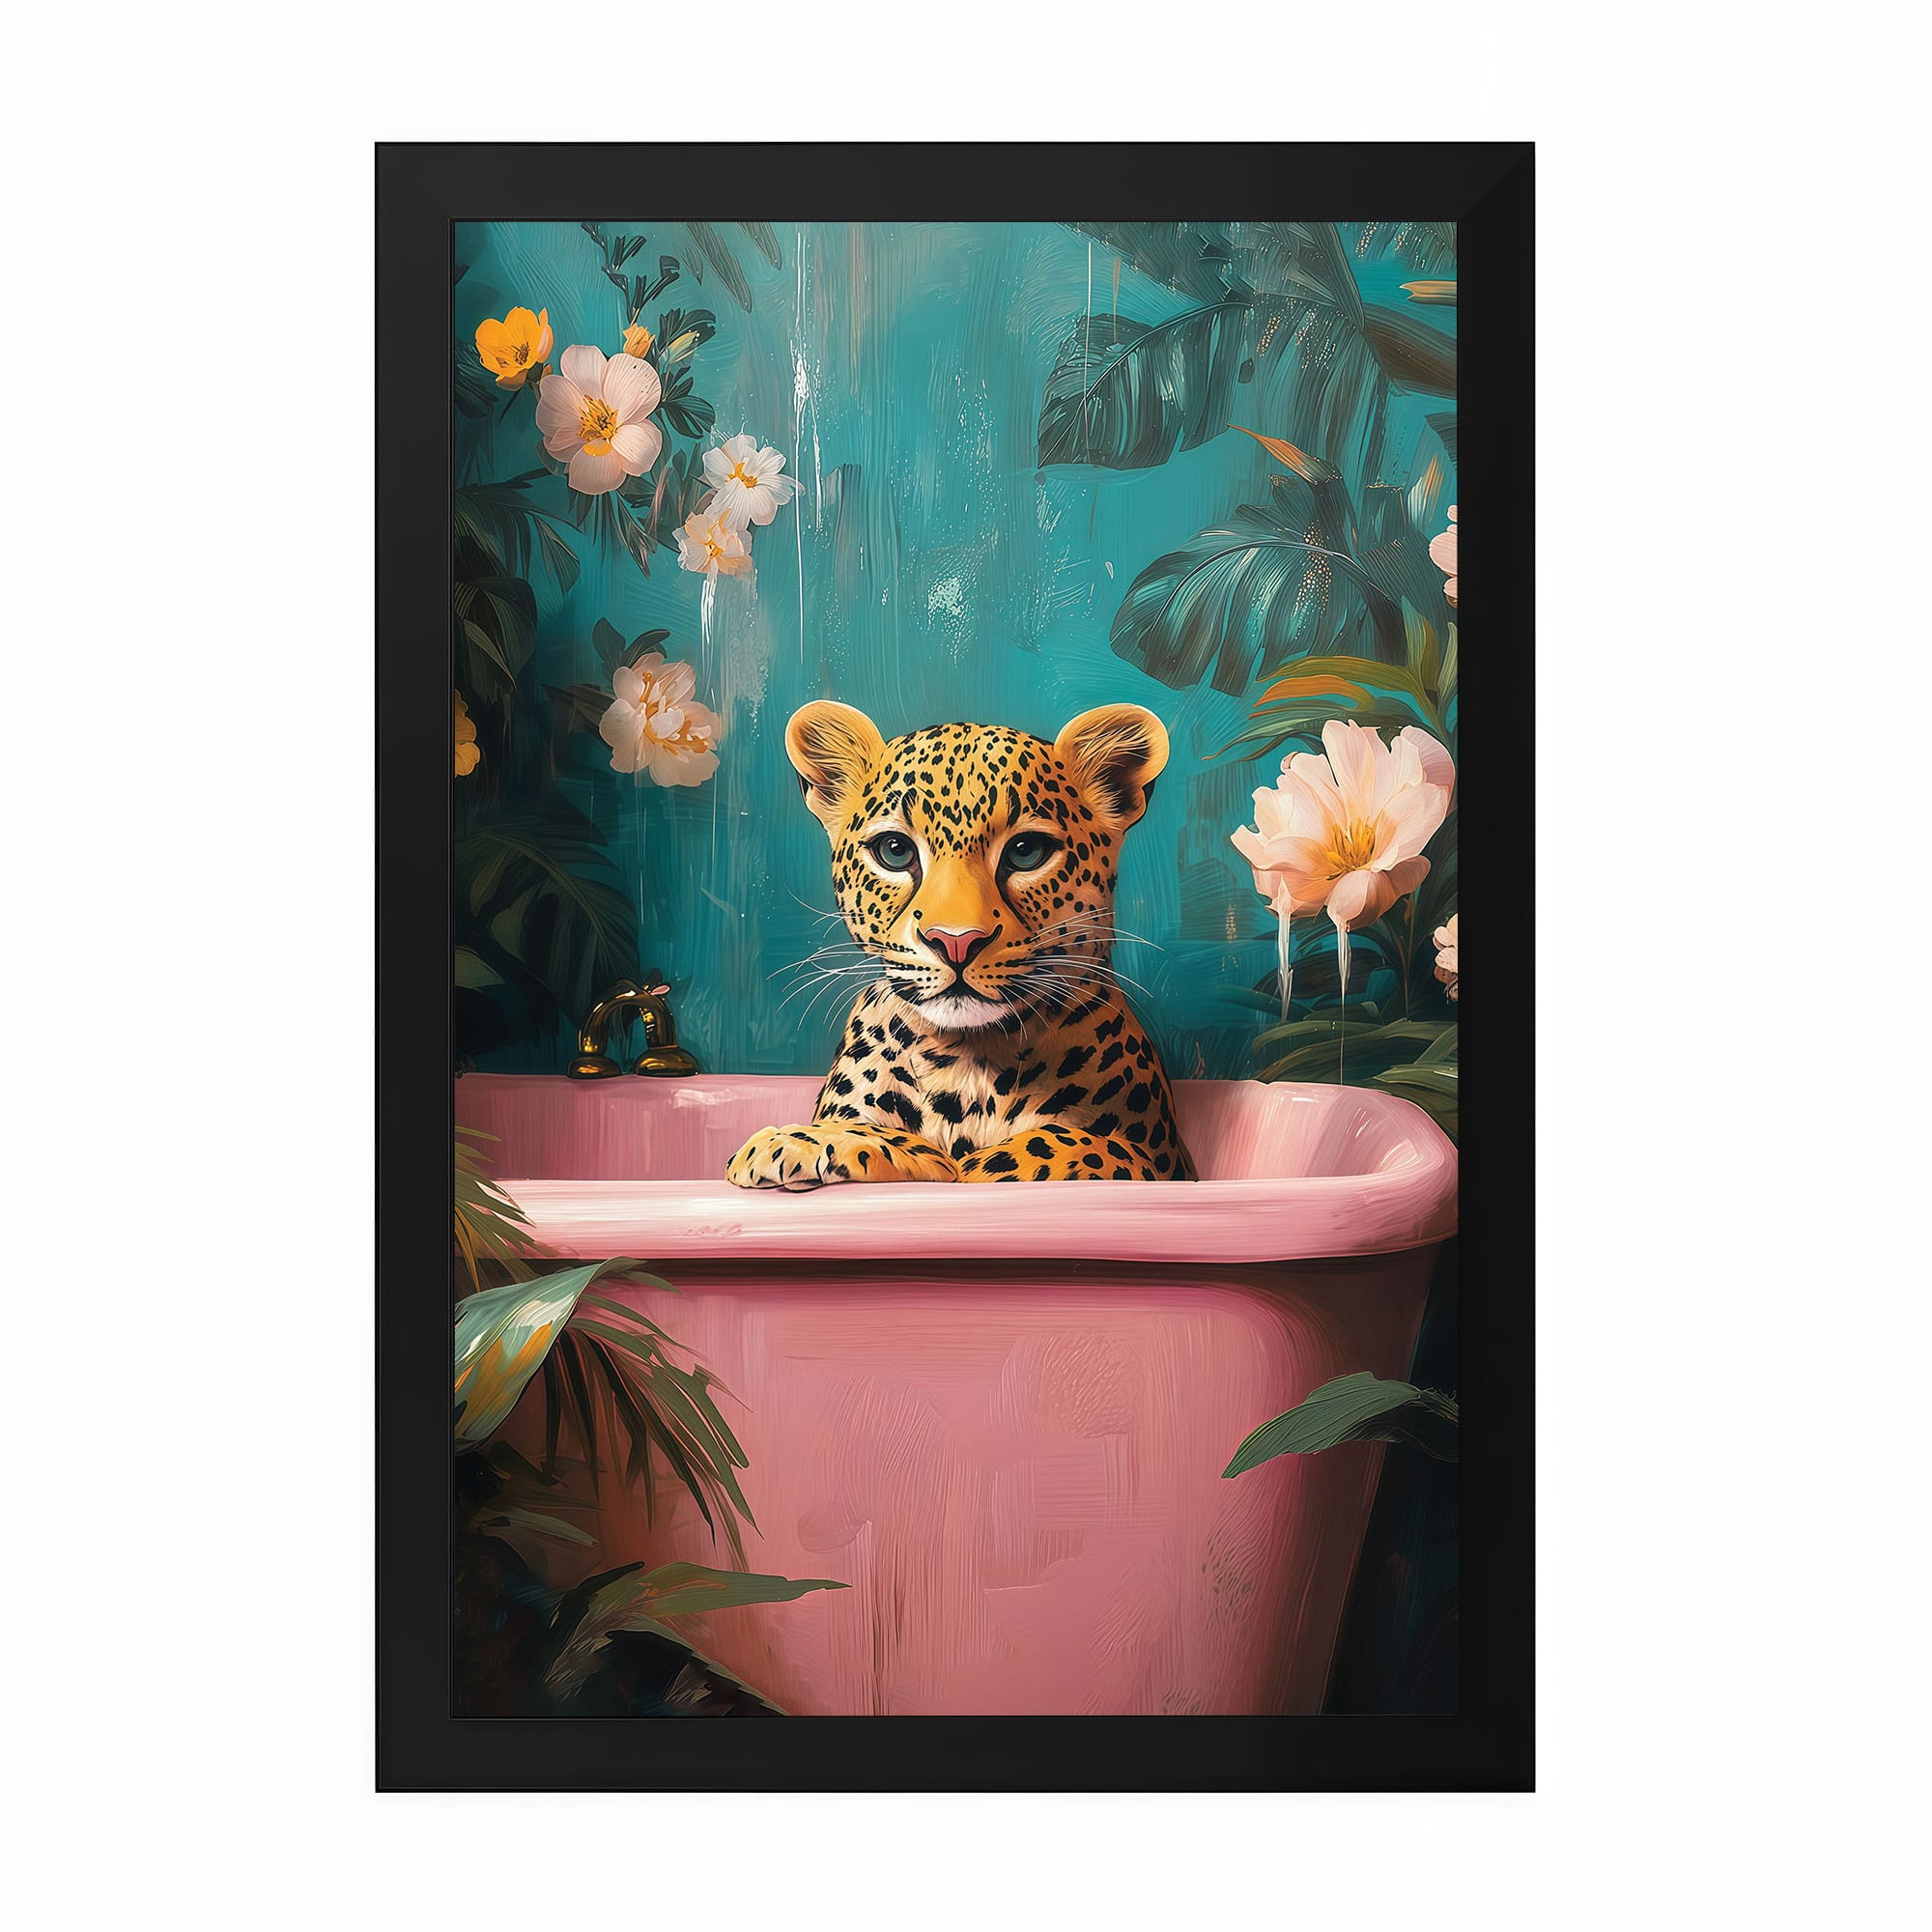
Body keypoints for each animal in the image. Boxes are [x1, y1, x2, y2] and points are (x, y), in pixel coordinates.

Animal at [726, 699, 1197, 1190]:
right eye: (895, 850)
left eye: (1026, 851)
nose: (955, 942)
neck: (965, 1065)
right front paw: (796, 1141)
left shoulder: (1163, 1168)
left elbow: (1063, 1147)